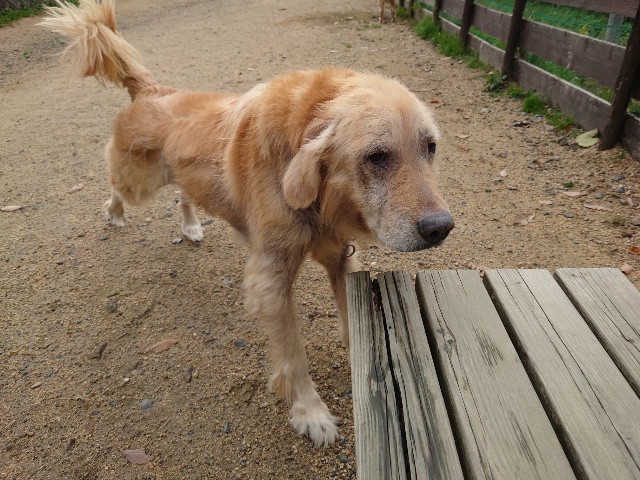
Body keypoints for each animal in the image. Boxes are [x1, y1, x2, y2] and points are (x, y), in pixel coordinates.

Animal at [40, 0, 454, 447]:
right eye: (377, 156)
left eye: (430, 148)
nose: (440, 227)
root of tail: (152, 89)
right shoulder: (270, 277)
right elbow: (293, 355)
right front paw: (311, 413)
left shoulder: (339, 257)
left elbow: (349, 322)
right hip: (138, 181)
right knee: (115, 188)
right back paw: (114, 215)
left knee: (183, 194)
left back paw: (191, 227)